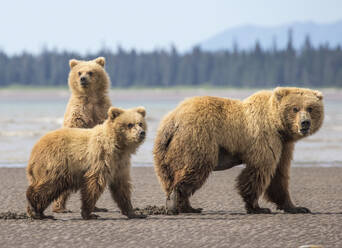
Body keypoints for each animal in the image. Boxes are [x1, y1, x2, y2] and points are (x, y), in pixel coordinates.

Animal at [52, 56, 111, 213]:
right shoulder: (78, 111)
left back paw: (96, 207)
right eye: (79, 72)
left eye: (90, 72)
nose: (83, 79)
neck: (90, 98)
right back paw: (60, 208)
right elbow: (76, 126)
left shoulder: (101, 109)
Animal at [154, 88, 324, 214]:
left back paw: (188, 206)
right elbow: (259, 171)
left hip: (164, 151)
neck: (278, 126)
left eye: (310, 108)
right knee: (194, 169)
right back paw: (177, 202)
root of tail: (172, 120)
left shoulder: (284, 145)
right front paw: (258, 207)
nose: (305, 123)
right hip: (197, 139)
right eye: (295, 108)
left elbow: (280, 174)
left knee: (168, 176)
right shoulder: (265, 137)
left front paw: (296, 207)